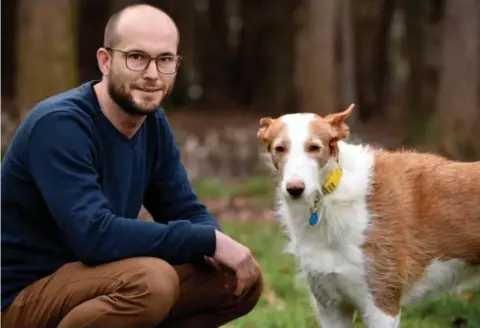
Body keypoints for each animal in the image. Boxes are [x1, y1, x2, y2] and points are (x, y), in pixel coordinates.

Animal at [256, 104, 478, 328]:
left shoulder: (381, 305)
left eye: (314, 148)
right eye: (279, 148)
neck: (328, 199)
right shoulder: (331, 306)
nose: (295, 189)